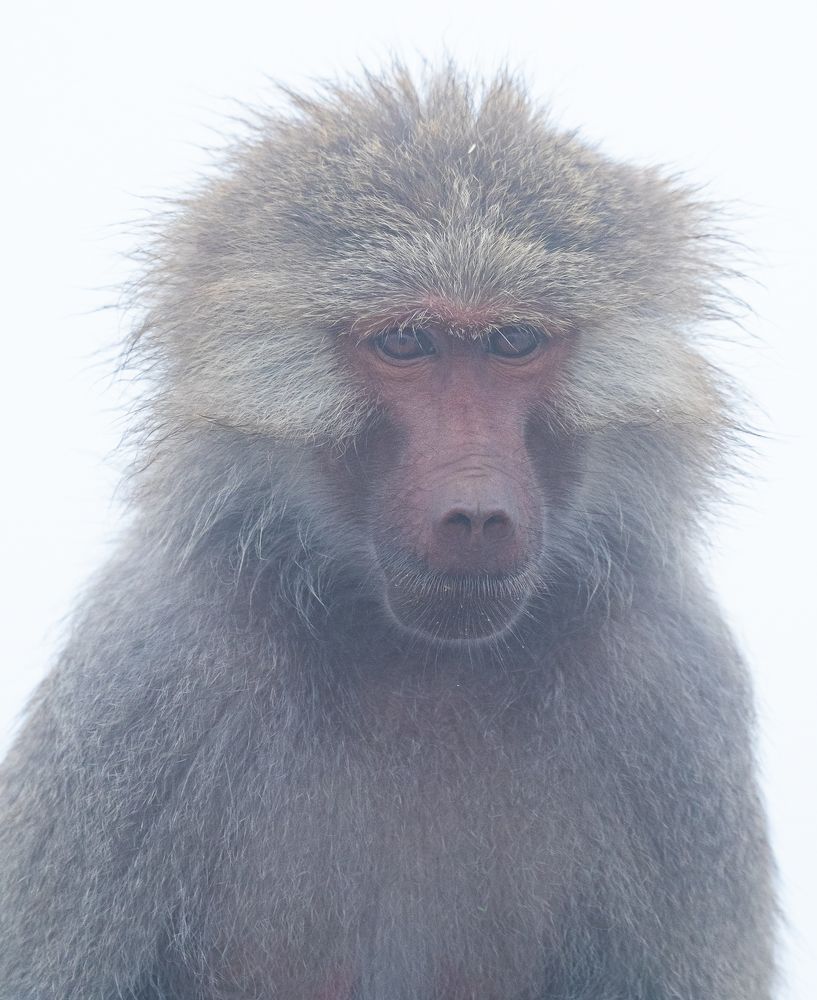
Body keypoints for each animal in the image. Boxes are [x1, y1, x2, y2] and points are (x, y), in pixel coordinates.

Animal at [0, 65, 776, 1000]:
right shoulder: (145, 673)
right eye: (406, 342)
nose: (475, 513)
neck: (416, 662)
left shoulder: (670, 686)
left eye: (512, 341)